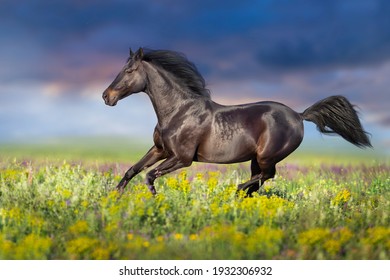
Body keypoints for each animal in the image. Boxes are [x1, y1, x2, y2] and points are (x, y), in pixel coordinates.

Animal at [101, 47, 372, 196]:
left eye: (128, 71)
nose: (106, 96)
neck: (179, 111)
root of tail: (298, 115)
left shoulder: (182, 158)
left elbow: (149, 176)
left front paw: (155, 198)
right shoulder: (160, 150)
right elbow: (132, 171)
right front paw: (113, 199)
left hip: (266, 156)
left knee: (267, 176)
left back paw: (237, 190)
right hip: (255, 159)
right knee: (260, 180)